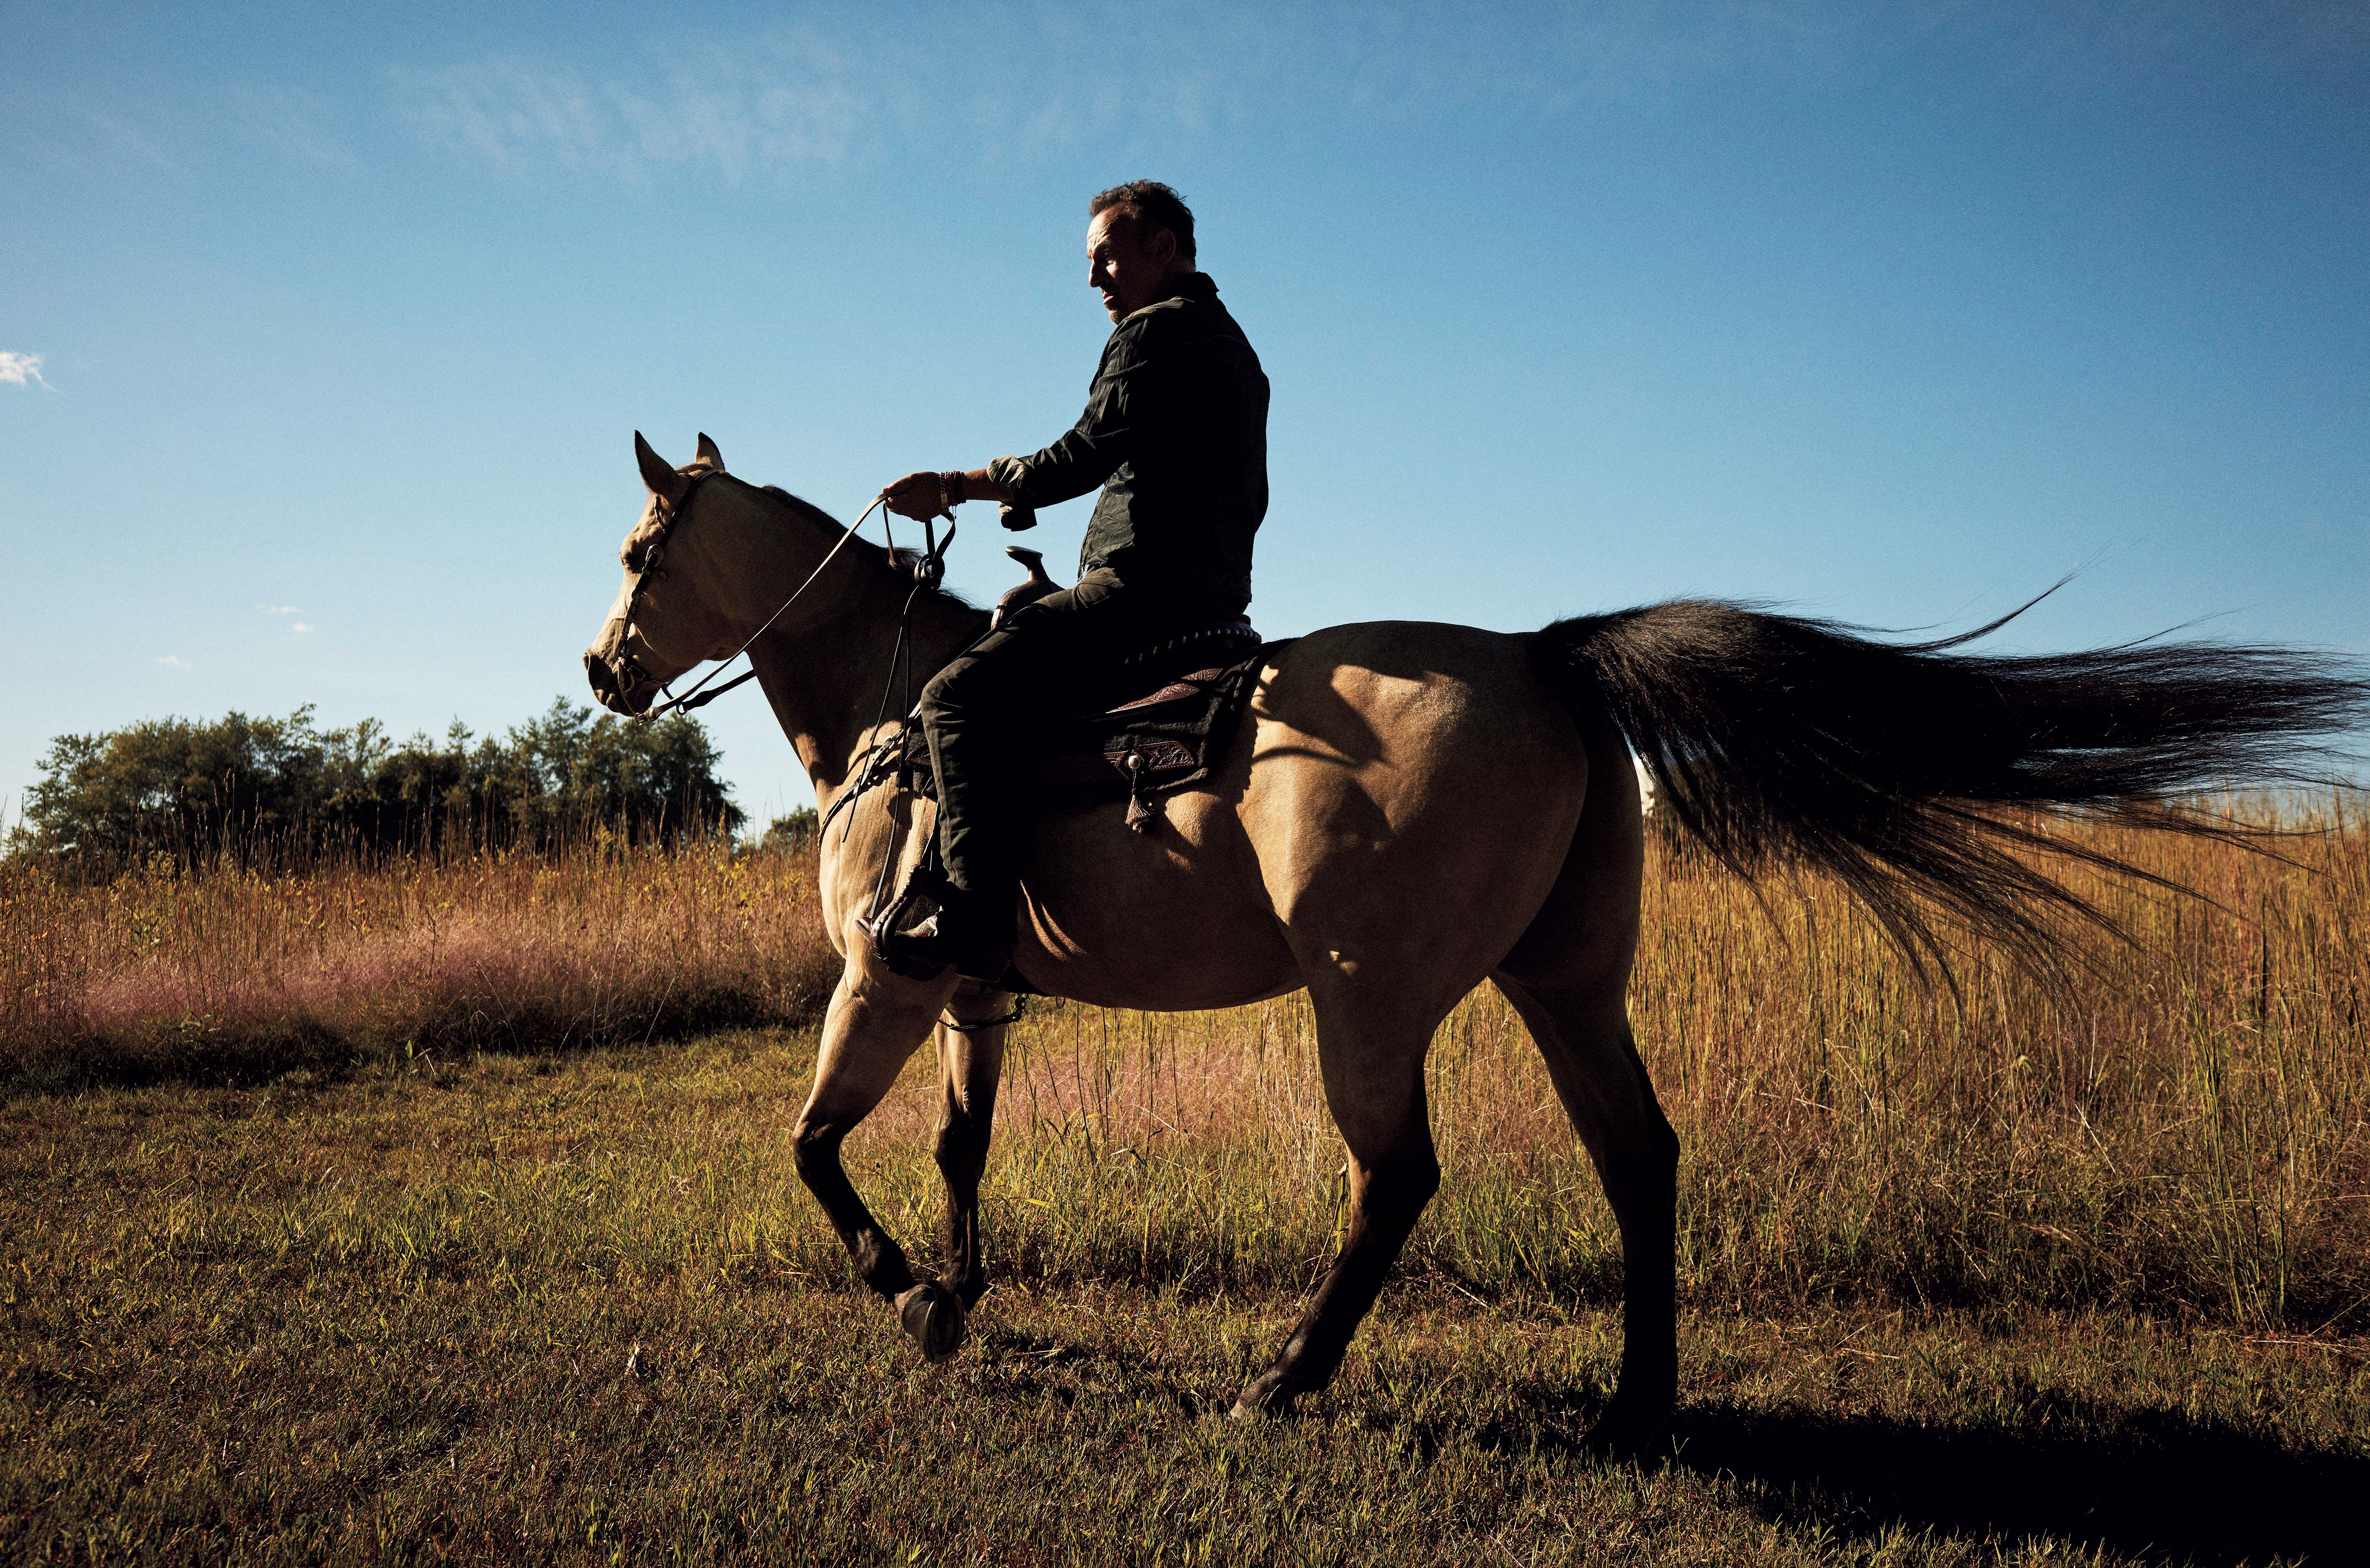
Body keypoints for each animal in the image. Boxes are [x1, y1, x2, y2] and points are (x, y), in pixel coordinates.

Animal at [583, 432, 2362, 1448]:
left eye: (637, 552)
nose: (602, 669)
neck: (902, 714)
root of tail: (1539, 652)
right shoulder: (966, 989)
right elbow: (960, 1151)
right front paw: (954, 1296)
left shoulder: (880, 978)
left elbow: (814, 1147)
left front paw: (905, 1296)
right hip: (1566, 981)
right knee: (1638, 1156)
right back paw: (1636, 1403)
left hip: (1363, 1000)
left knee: (1394, 1179)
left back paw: (1288, 1380)